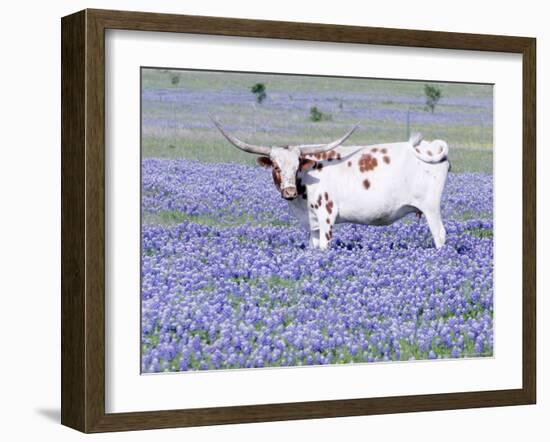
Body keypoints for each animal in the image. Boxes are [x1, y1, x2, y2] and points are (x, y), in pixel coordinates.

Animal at [213, 117, 450, 250]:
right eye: (276, 167)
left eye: (297, 165)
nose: (289, 192)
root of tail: (430, 146)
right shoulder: (312, 224)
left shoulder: (326, 216)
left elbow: (325, 247)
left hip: (431, 208)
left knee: (439, 235)